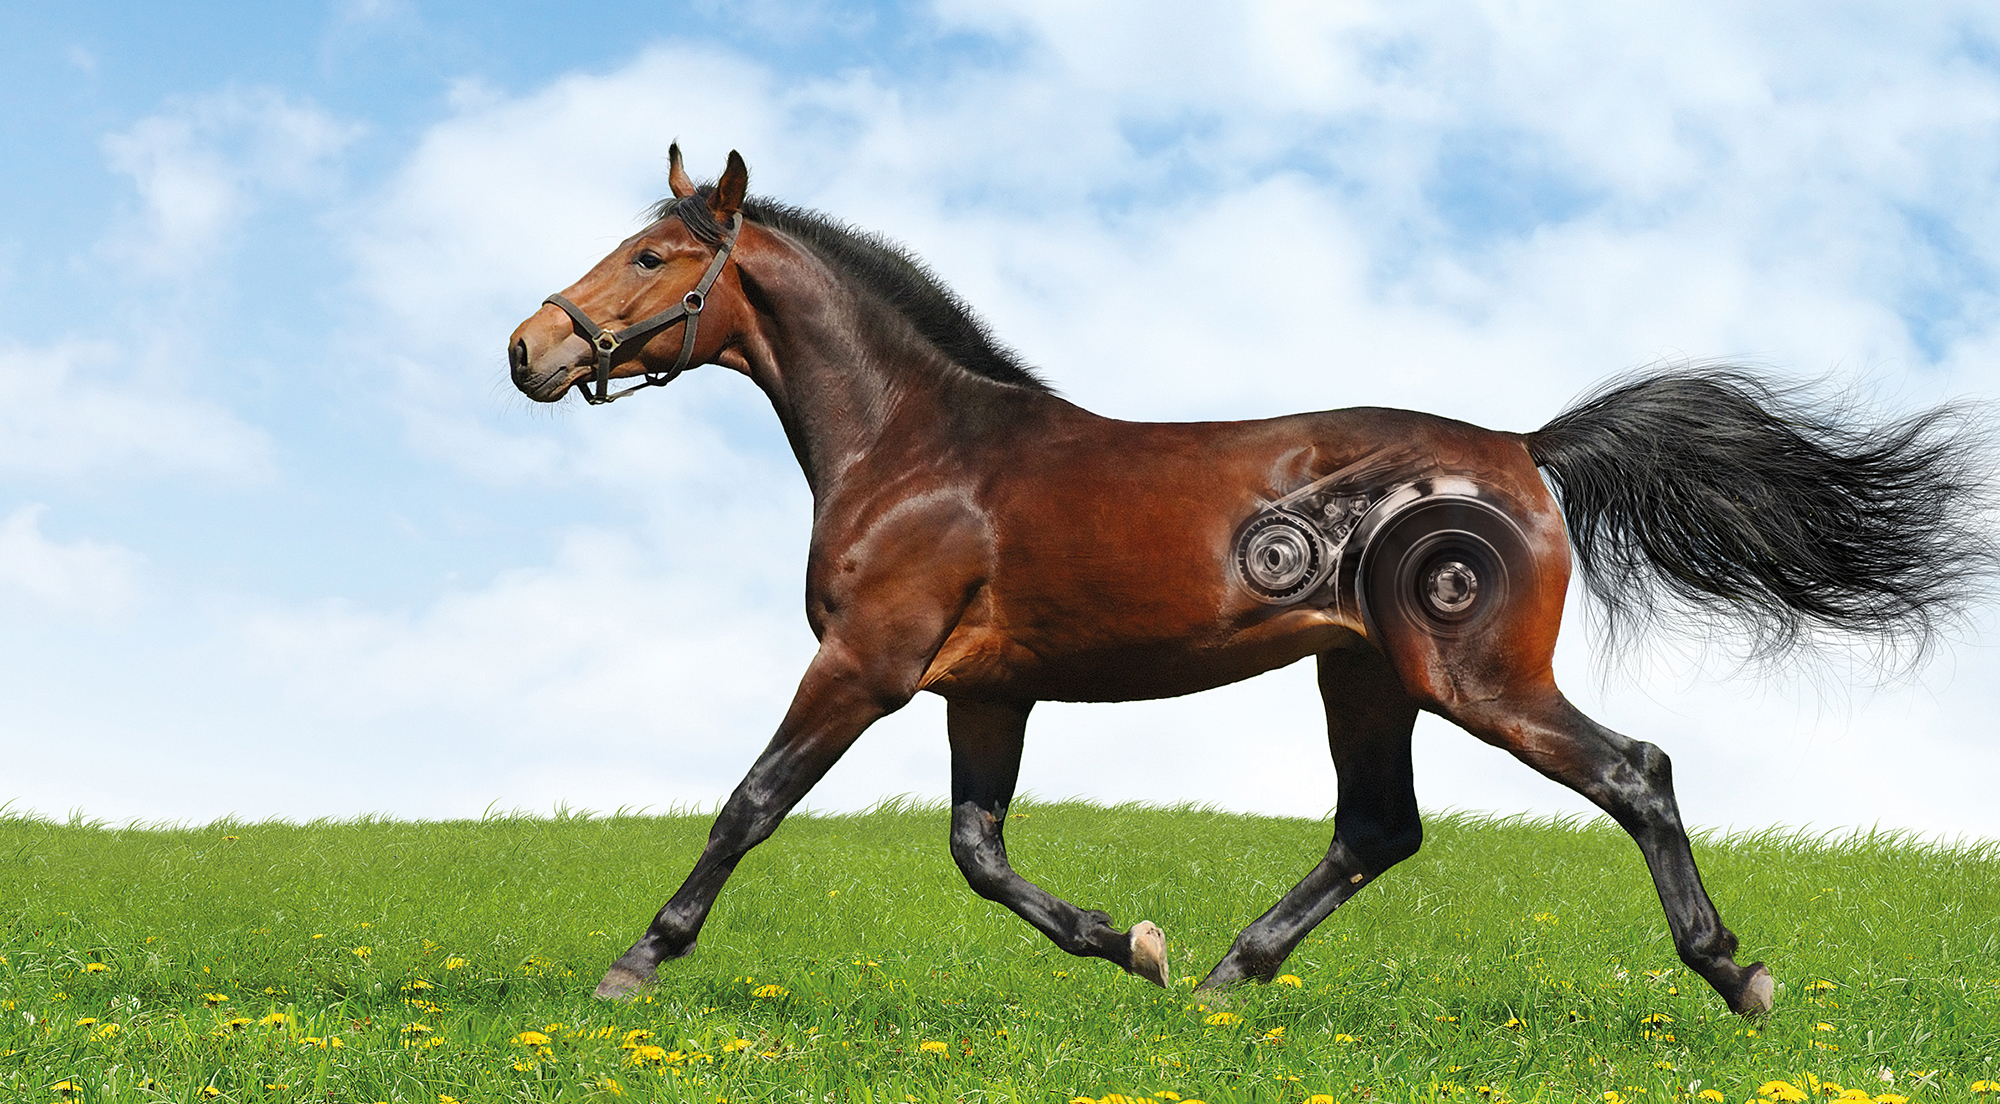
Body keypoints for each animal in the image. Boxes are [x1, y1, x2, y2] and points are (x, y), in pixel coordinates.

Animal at [506, 146, 1993, 1016]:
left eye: (652, 256)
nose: (527, 349)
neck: (920, 447)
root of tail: (1523, 450)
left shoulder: (862, 665)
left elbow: (750, 804)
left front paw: (634, 964)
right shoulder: (983, 694)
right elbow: (979, 852)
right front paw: (1129, 944)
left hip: (1471, 673)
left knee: (1634, 772)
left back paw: (1735, 976)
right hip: (1365, 678)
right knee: (1378, 829)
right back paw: (1228, 971)